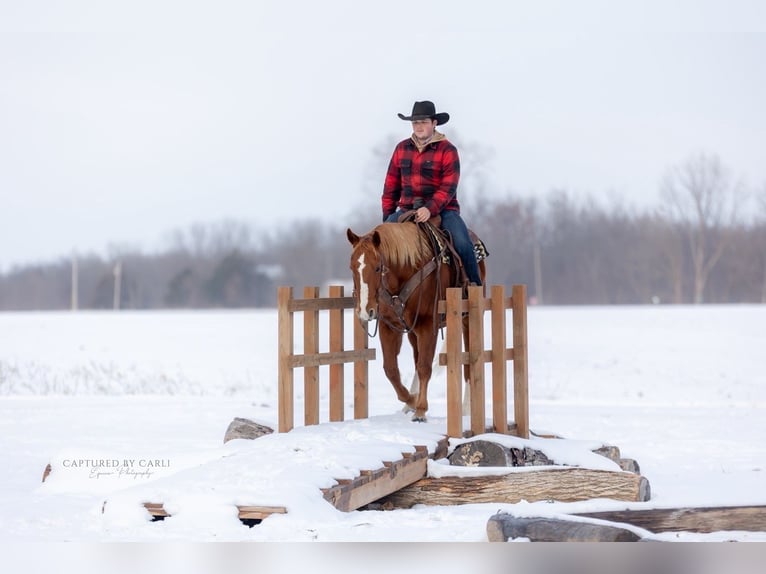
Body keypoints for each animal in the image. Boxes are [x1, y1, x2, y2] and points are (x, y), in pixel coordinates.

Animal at [346, 220, 486, 422]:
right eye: (352, 268)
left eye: (378, 268)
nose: (366, 311)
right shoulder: (389, 326)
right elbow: (391, 369)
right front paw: (411, 400)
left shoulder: (428, 324)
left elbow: (425, 366)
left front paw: (420, 410)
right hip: (412, 331)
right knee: (415, 359)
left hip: (468, 318)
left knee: (467, 362)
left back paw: (467, 408)